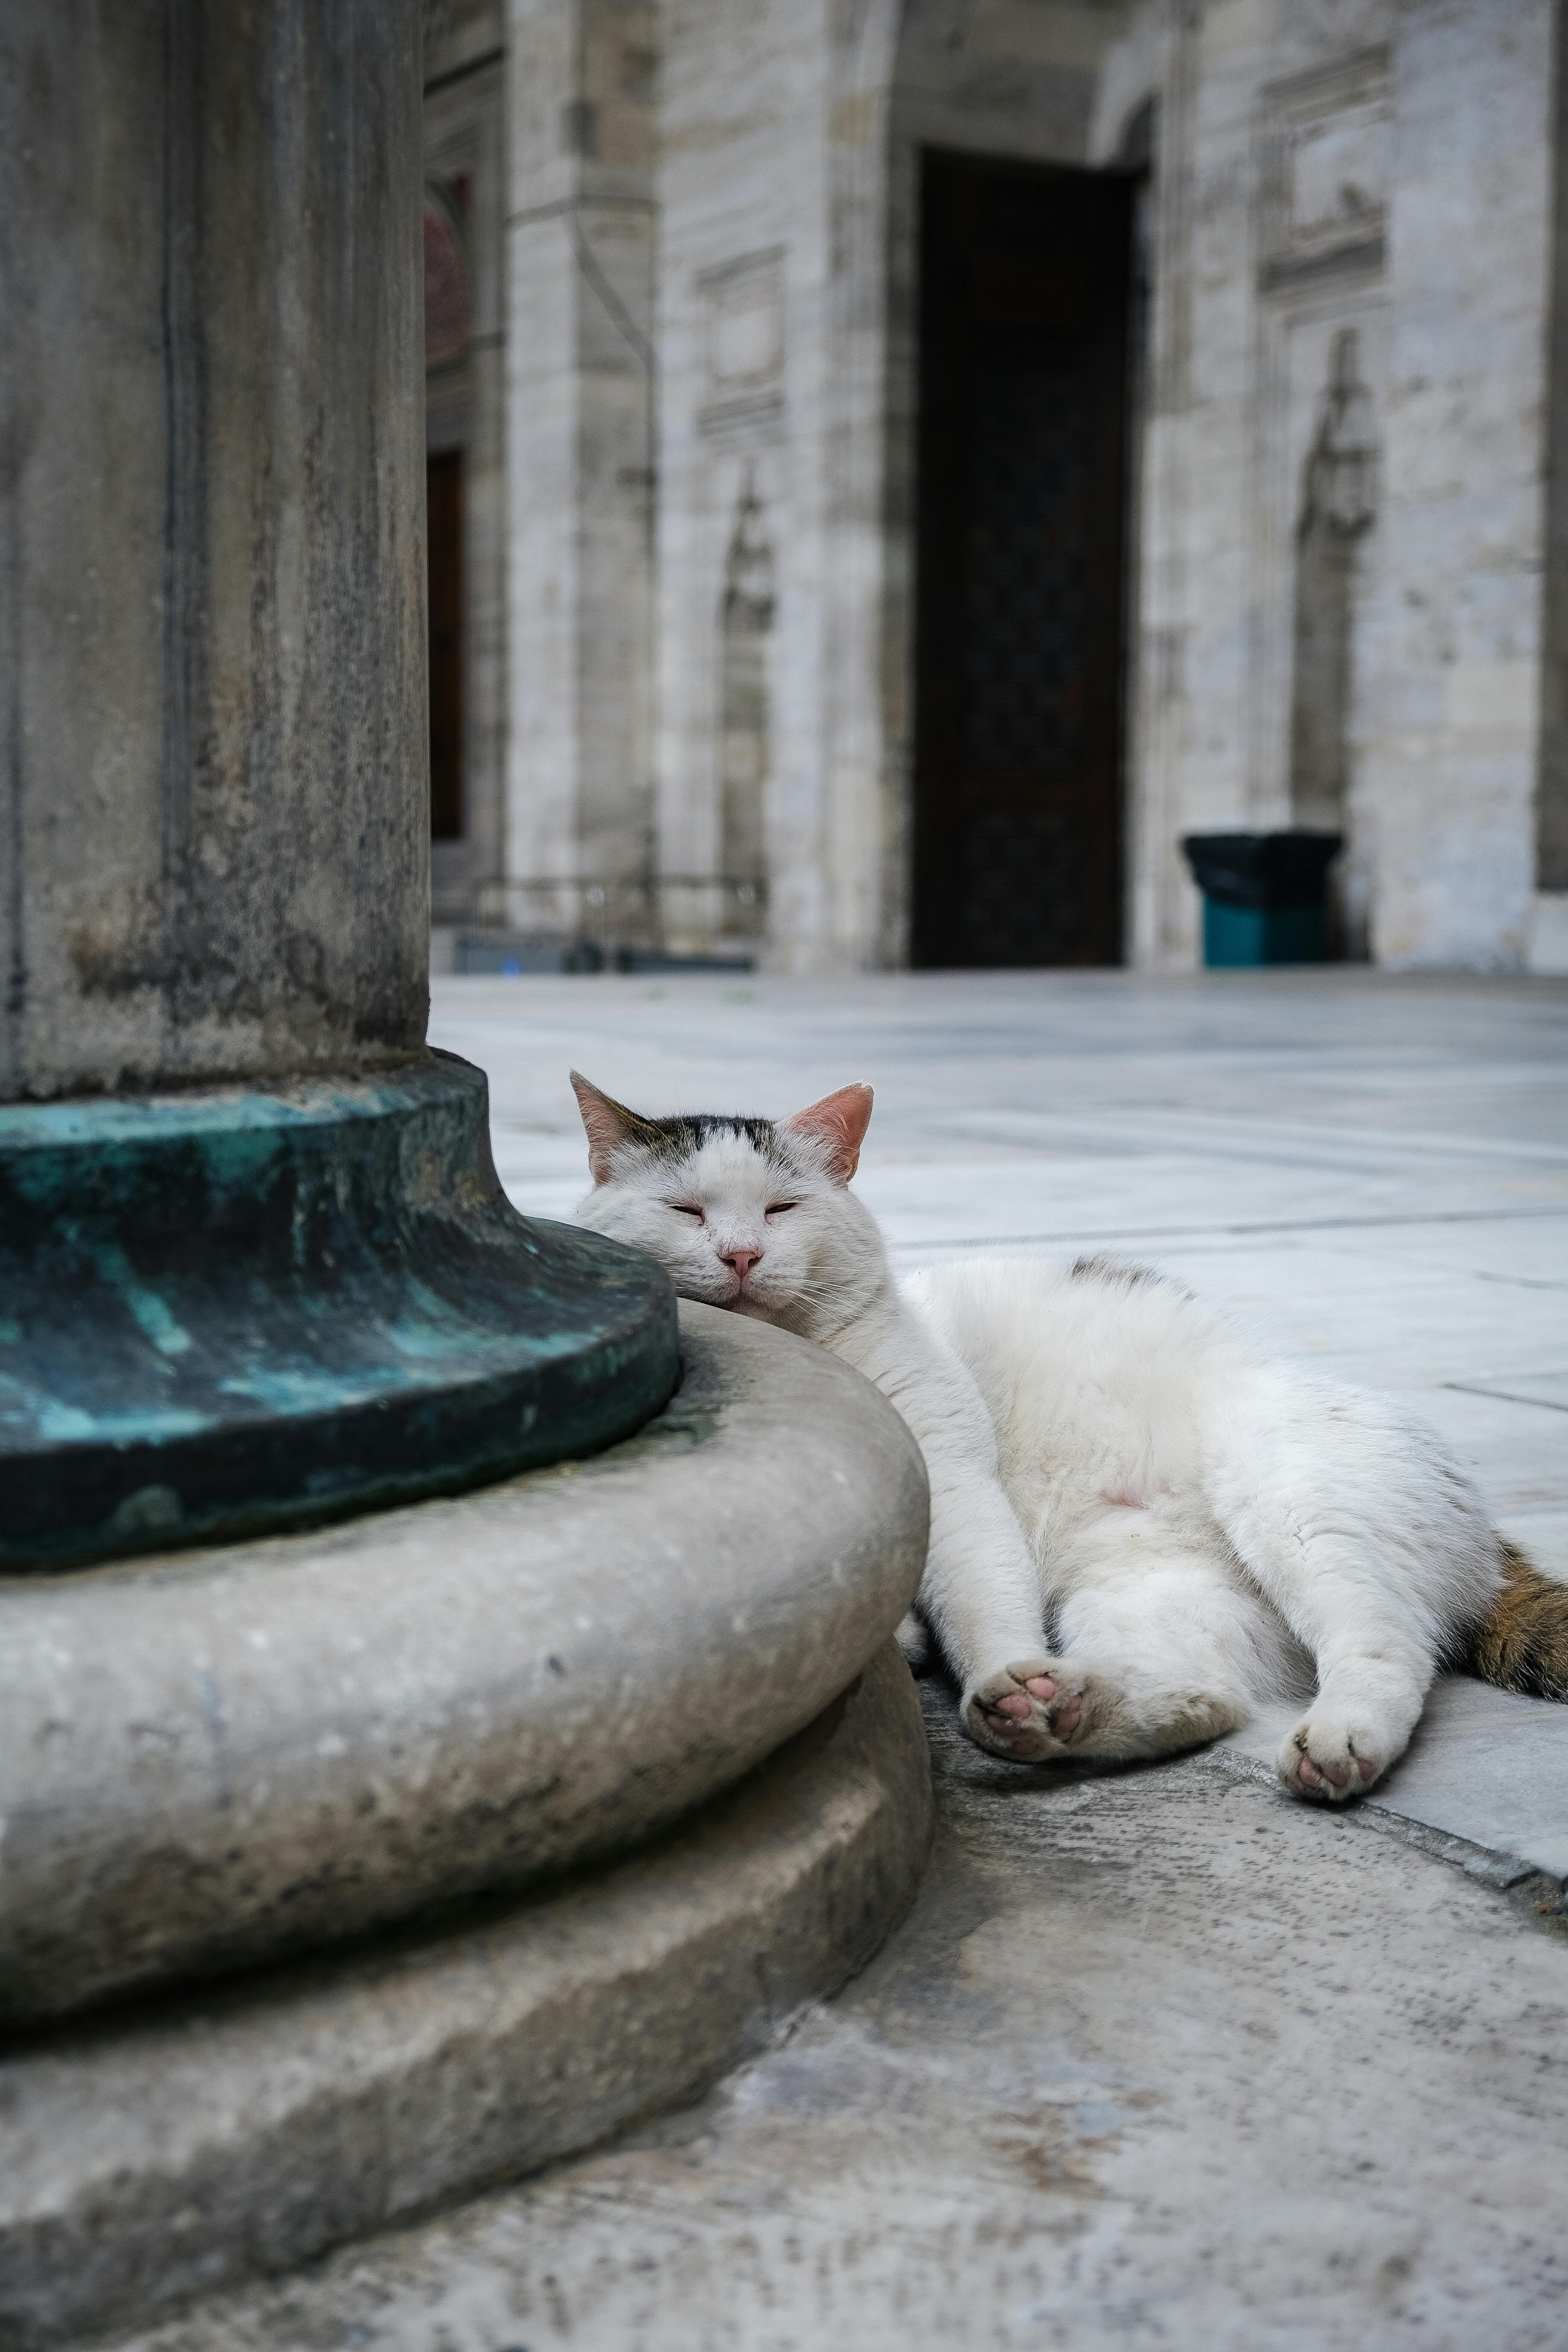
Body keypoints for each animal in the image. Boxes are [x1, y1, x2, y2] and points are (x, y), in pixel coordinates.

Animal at [573, 1077, 1568, 1787]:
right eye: (686, 1212)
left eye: (780, 1209)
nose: (741, 1254)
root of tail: (1485, 1533)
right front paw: (918, 1646)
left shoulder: (954, 1481)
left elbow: (981, 1596)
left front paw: (982, 1660)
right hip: (1154, 1597)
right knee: (1209, 1697)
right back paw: (1056, 1713)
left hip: (1298, 1507)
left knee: (1384, 1646)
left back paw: (1338, 1739)